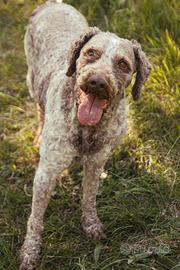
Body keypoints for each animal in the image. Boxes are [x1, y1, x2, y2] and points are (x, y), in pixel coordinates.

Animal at [19, 1, 150, 268]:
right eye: (91, 53)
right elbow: (35, 217)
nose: (97, 82)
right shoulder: (46, 172)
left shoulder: (96, 162)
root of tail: (53, 4)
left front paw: (91, 224)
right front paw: (30, 250)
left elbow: (89, 197)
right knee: (39, 108)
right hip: (32, 81)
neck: (87, 129)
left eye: (123, 64)